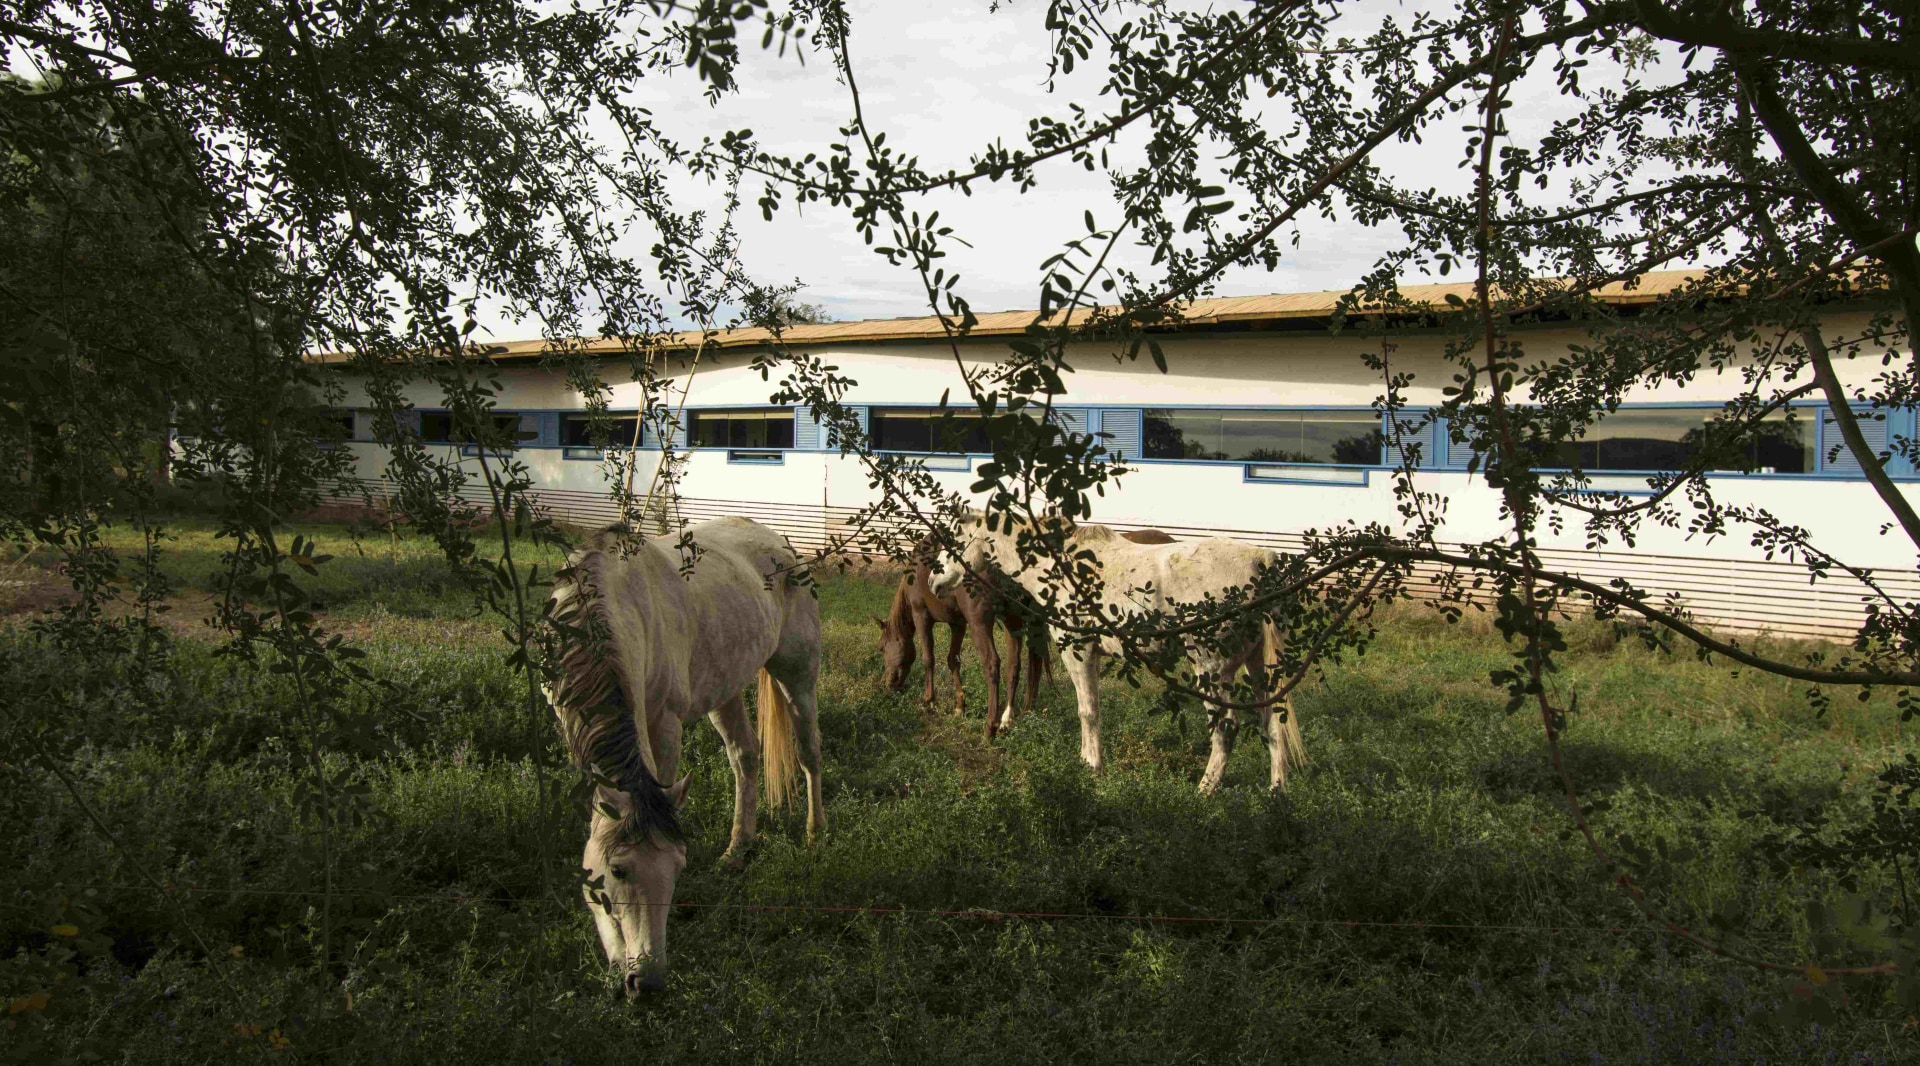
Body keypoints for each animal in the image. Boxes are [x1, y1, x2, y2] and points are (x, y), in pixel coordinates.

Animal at [541, 518, 825, 998]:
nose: (648, 981)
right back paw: (737, 848)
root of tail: (781, 543)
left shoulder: (664, 723)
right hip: (726, 687)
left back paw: (815, 833)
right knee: (745, 758)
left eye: (677, 870)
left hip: (797, 676)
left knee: (809, 754)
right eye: (617, 871)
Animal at [929, 514, 1305, 795]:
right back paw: (1276, 792)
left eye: (955, 538)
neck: (1060, 565)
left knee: (1226, 727)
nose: (934, 579)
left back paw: (1204, 790)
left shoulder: (1077, 649)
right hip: (1259, 667)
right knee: (1273, 722)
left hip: (1211, 667)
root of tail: (1262, 562)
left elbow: (1088, 711)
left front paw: (1092, 766)